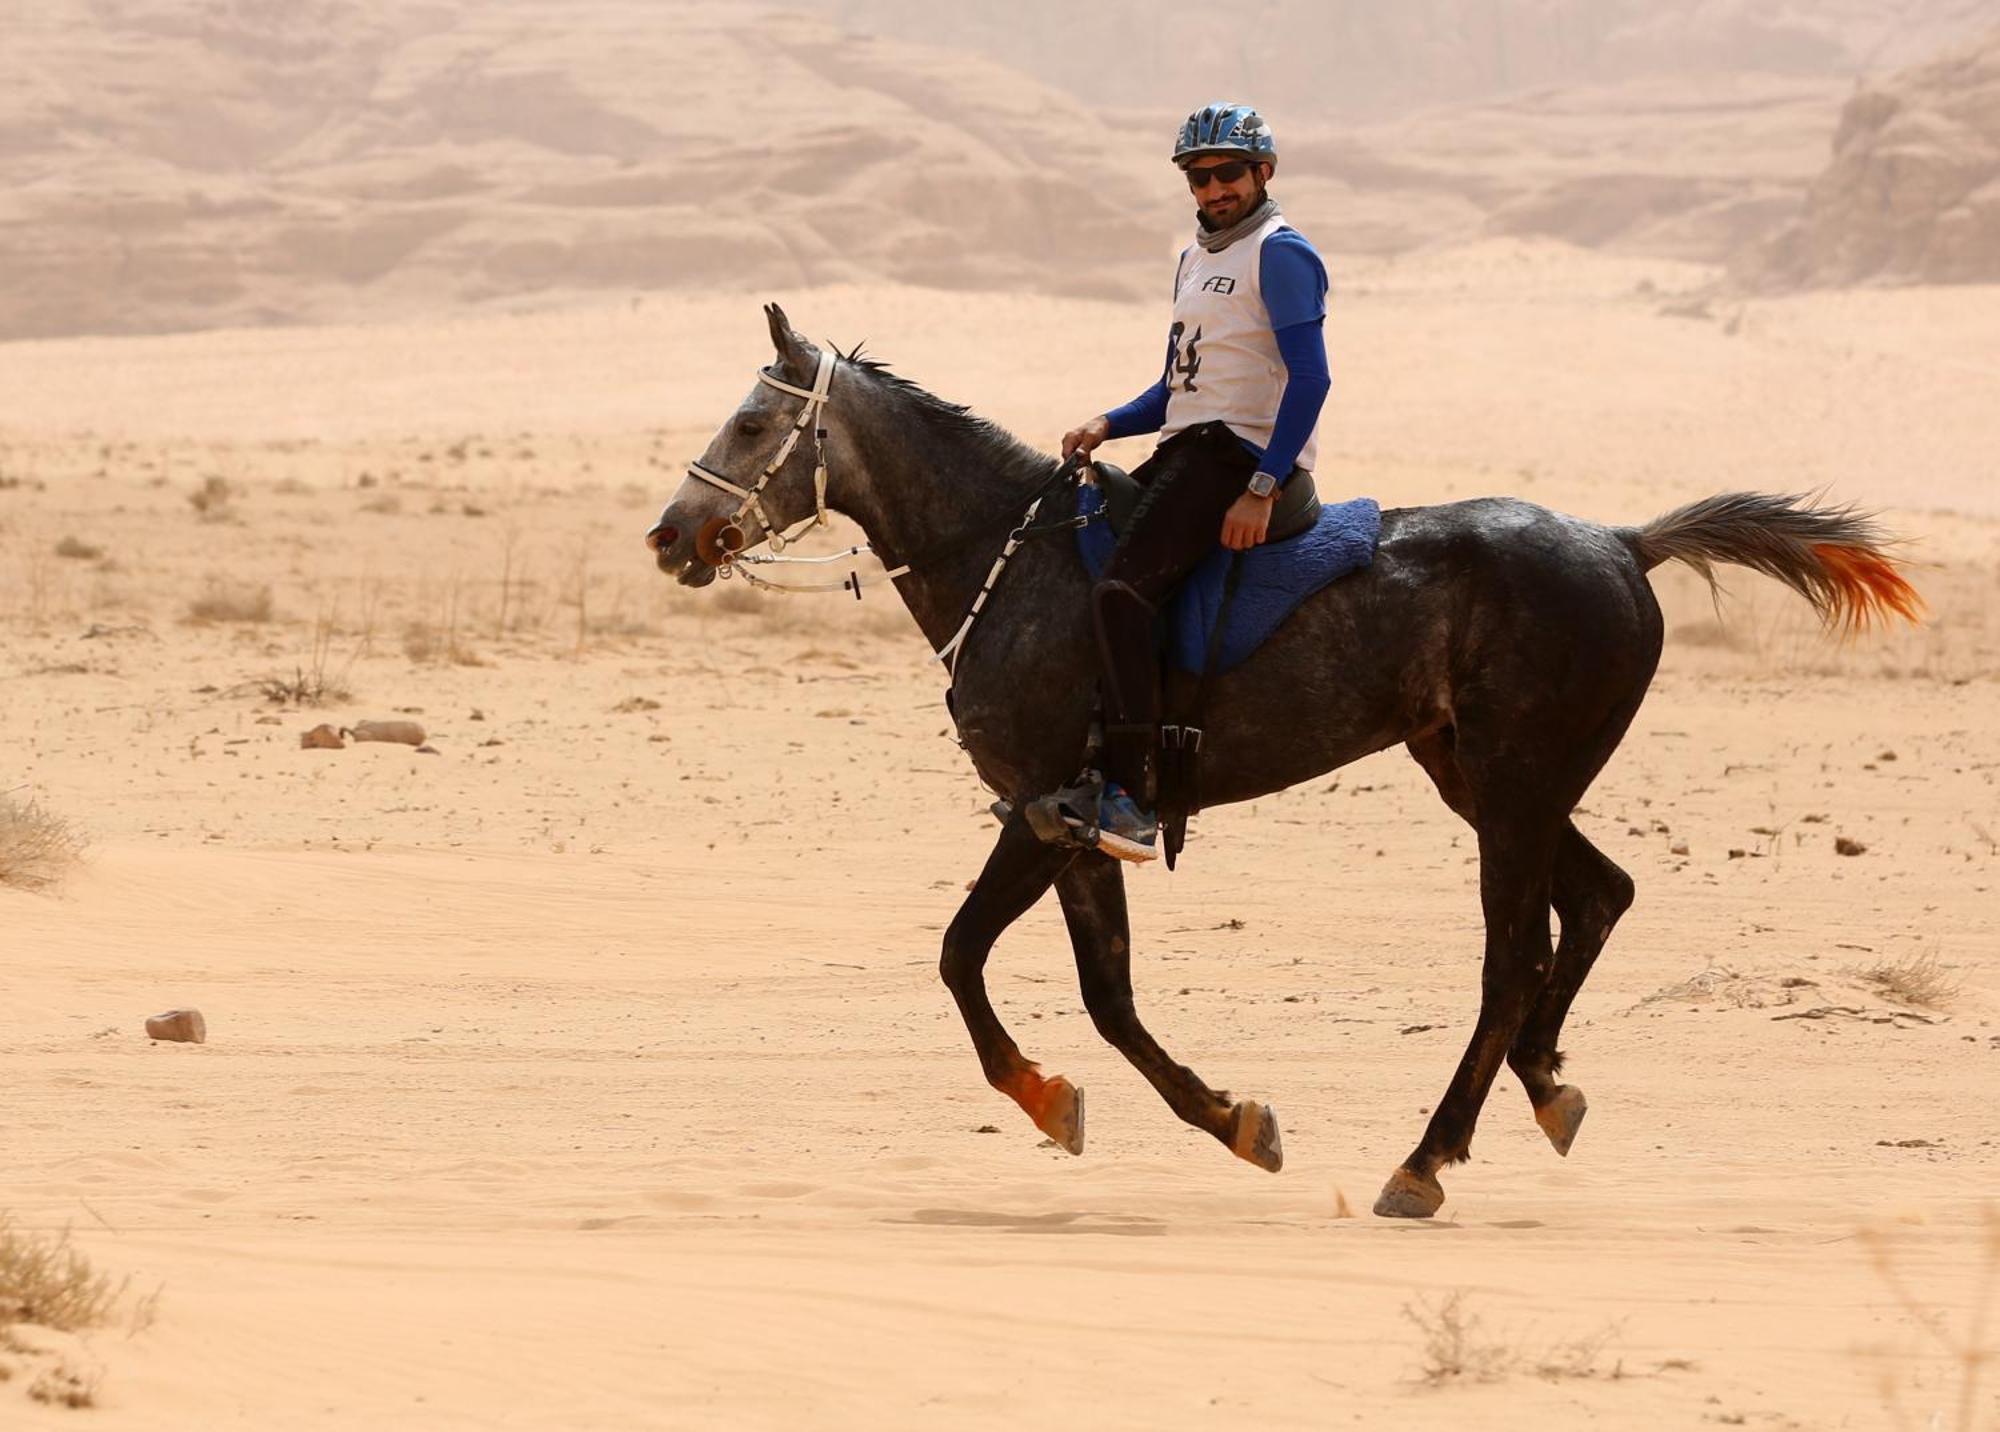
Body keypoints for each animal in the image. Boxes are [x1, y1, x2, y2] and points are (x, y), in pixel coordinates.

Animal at [644, 304, 1920, 1216]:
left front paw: (1075, 1101)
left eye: (752, 425)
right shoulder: (1069, 826)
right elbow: (1072, 989)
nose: (669, 535)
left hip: (1511, 791)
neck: (1015, 560)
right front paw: (1192, 1114)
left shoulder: (1045, 809)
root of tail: (1620, 542)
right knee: (1598, 898)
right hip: (1481, 778)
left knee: (1512, 960)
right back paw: (1545, 1085)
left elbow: (996, 967)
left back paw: (1426, 1159)